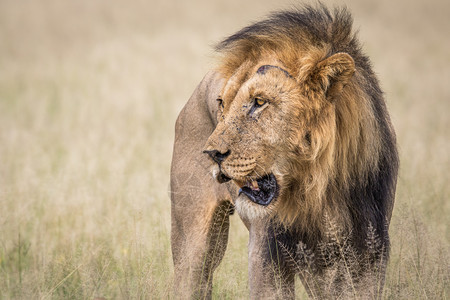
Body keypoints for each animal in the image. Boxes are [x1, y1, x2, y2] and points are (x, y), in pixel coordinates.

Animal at [171, 5, 400, 300]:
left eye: (259, 102)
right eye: (222, 103)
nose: (211, 153)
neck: (319, 191)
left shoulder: (370, 251)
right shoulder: (266, 253)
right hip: (192, 239)